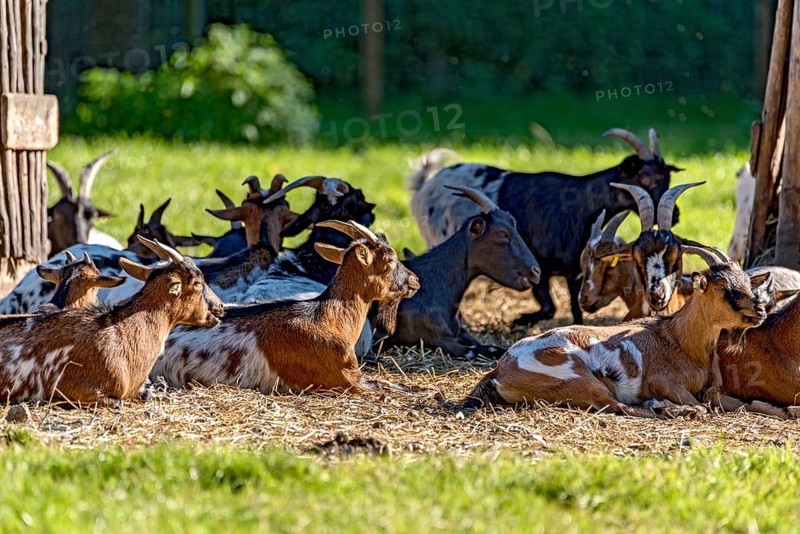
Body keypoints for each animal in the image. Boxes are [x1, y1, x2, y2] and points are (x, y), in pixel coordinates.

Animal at [410, 128, 682, 326]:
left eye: (667, 179)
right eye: (645, 179)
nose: (676, 215)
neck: (578, 205)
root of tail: (426, 184)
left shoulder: (575, 271)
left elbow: (575, 307)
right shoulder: (537, 266)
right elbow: (550, 306)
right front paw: (520, 321)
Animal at [466, 246, 796, 418]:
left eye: (746, 282)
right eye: (720, 286)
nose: (758, 311)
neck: (677, 339)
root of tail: (500, 369)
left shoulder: (715, 391)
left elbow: (741, 404)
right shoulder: (664, 381)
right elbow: (699, 405)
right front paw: (668, 405)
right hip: (578, 379)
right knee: (623, 407)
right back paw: (663, 408)